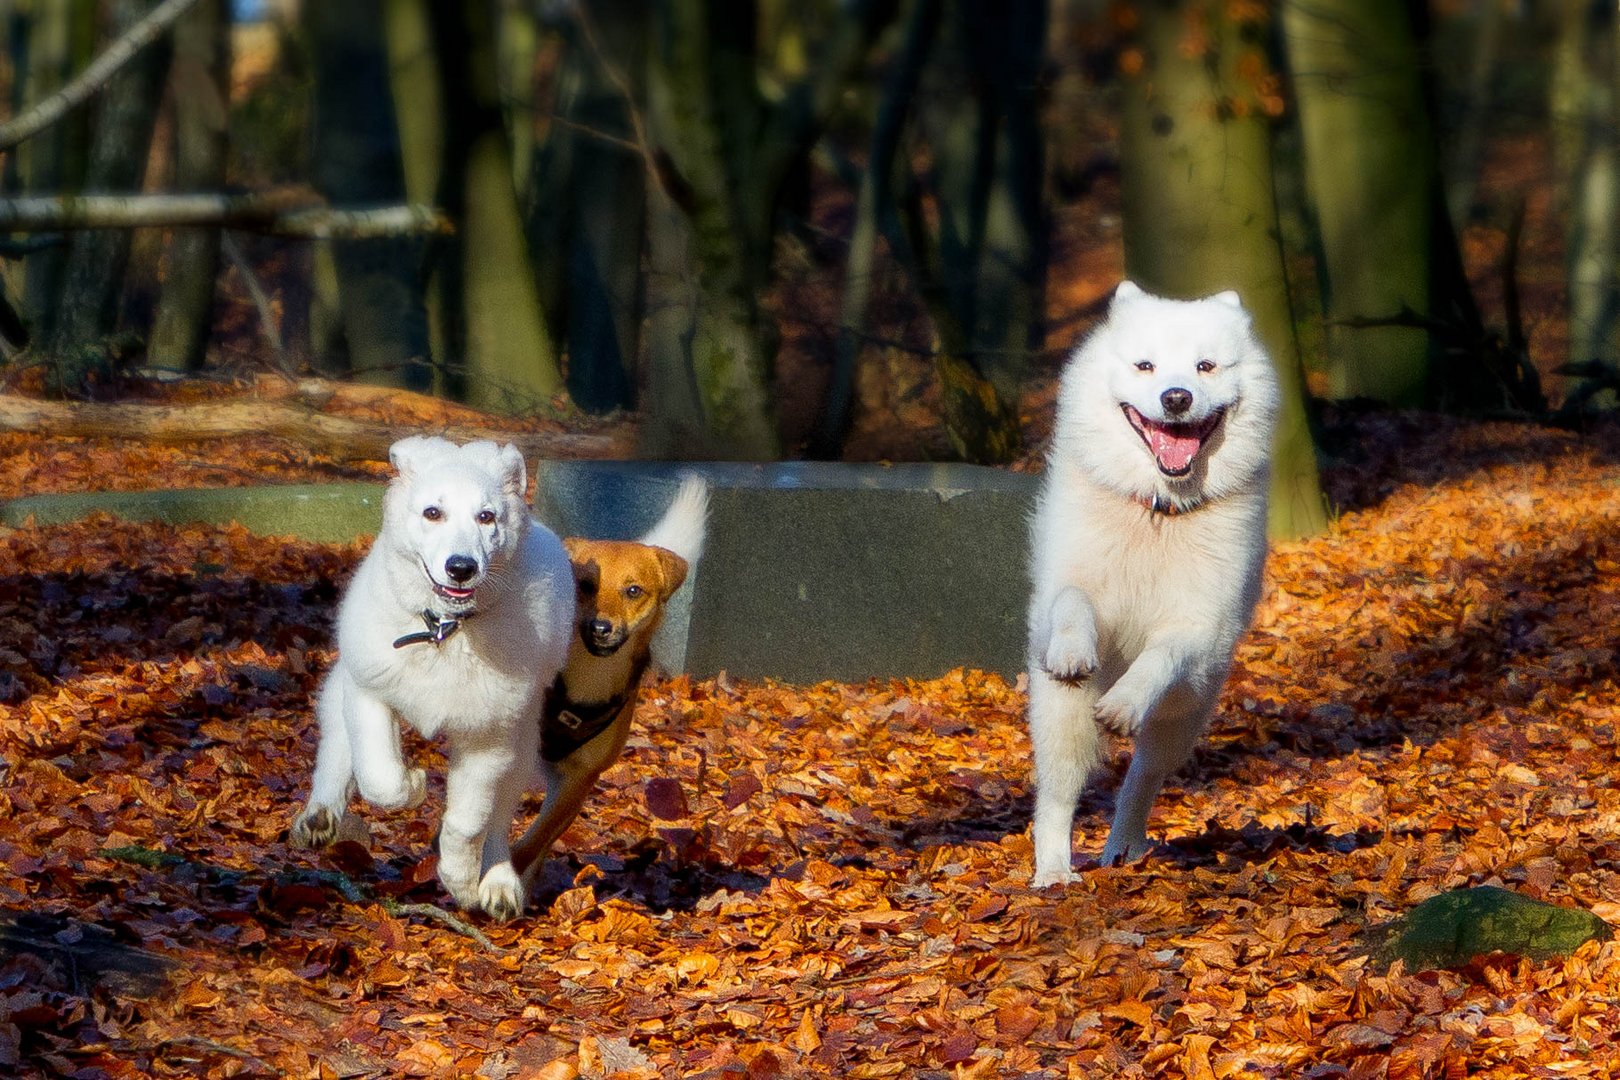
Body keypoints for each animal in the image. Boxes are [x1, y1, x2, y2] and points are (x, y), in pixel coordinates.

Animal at [291, 437, 576, 919]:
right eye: (432, 513)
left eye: (486, 517)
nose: (461, 567)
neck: (445, 631)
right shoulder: (369, 693)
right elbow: (380, 777)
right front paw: (414, 785)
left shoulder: (488, 740)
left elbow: (468, 823)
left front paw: (461, 884)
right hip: (348, 677)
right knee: (338, 745)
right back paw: (321, 814)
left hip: (520, 741)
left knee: (499, 818)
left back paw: (498, 882)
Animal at [511, 479, 703, 887]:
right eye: (586, 585)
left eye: (633, 591)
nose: (600, 627)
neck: (587, 679)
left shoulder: (578, 779)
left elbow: (533, 842)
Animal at [1023, 281, 1276, 887]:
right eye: (1146, 366)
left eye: (1206, 366)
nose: (1177, 397)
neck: (1158, 511)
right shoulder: (1071, 585)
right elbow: (1072, 603)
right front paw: (1073, 651)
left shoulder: (1198, 626)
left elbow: (1161, 657)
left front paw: (1123, 703)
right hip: (1060, 717)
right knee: (1057, 797)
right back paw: (1054, 872)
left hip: (1182, 718)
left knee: (1140, 779)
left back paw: (1122, 847)